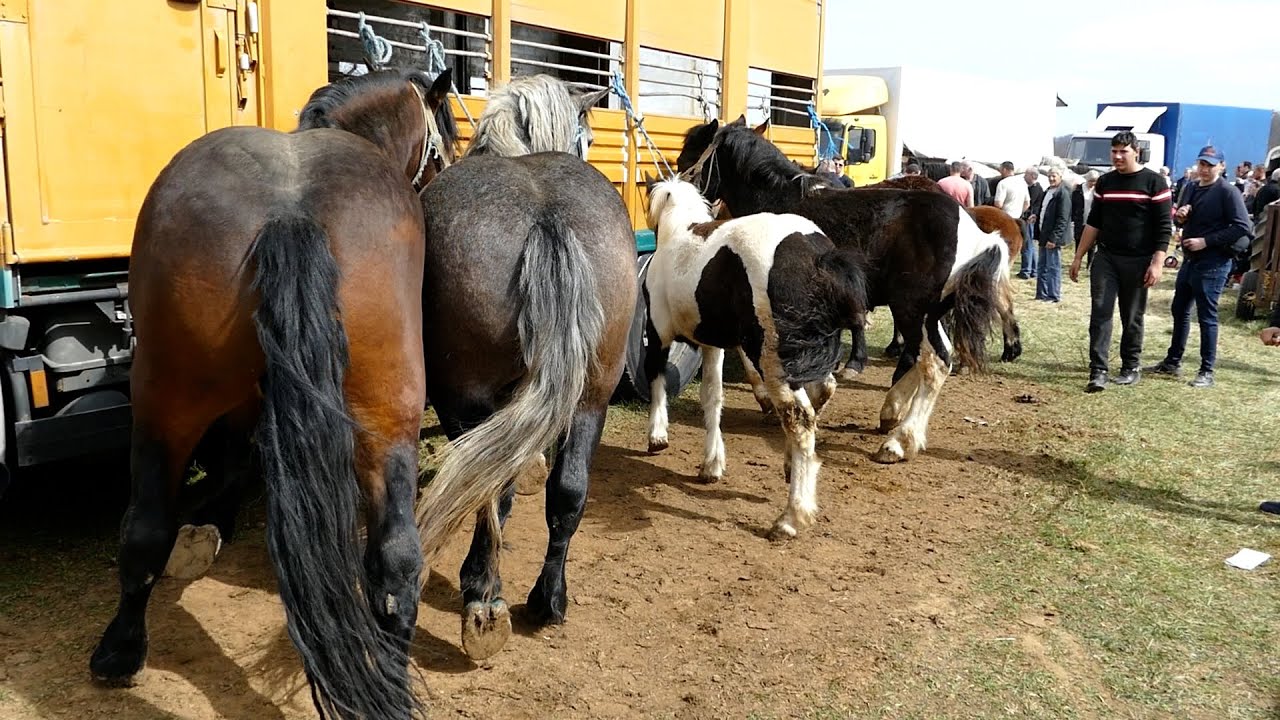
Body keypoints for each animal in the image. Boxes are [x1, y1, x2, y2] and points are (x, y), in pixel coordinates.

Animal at [89, 68, 459, 720]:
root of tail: (290, 212)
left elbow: (234, 461)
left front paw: (212, 521)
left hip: (166, 400)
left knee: (146, 526)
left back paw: (121, 648)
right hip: (378, 412)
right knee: (394, 561)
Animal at [412, 75, 637, 660]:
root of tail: (547, 216)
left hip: (466, 397)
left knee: (488, 486)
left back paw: (483, 600)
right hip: (594, 392)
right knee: (569, 489)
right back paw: (547, 598)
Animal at [642, 176, 867, 538]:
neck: (679, 234)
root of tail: (819, 257)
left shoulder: (658, 332)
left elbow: (657, 379)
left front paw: (658, 436)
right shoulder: (713, 345)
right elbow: (712, 397)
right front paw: (711, 464)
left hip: (776, 364)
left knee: (799, 416)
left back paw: (791, 517)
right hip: (805, 358)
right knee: (821, 394)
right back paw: (791, 468)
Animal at [677, 119, 1015, 464]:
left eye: (687, 155)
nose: (680, 183)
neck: (776, 204)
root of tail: (977, 232)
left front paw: (777, 398)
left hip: (913, 309)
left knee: (934, 361)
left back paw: (897, 442)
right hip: (928, 313)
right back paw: (894, 415)